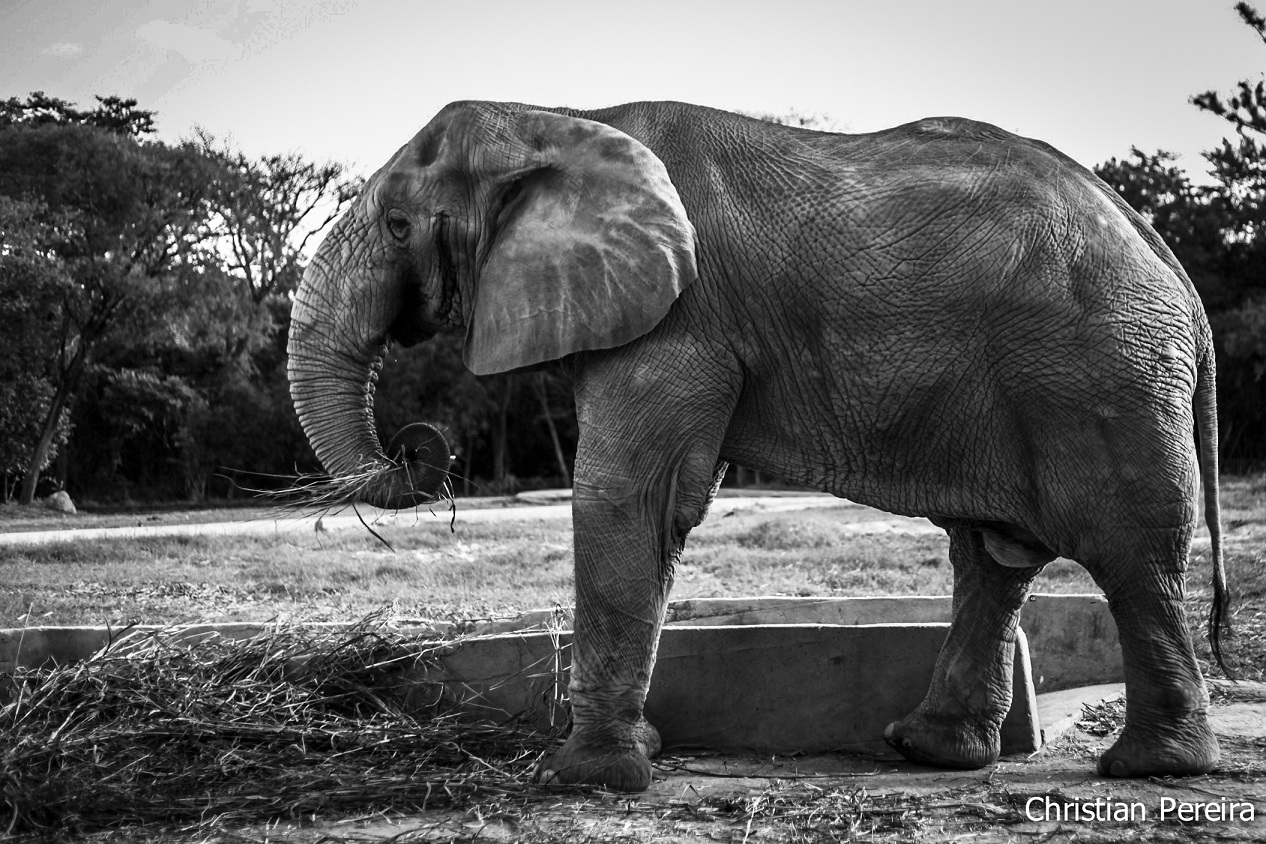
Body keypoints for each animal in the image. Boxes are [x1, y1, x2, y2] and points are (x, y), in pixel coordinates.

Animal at [286, 100, 1230, 792]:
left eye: (398, 225)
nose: (421, 446)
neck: (559, 118)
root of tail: (1165, 254)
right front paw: (633, 757)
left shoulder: (680, 321)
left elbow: (627, 498)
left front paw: (584, 779)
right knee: (994, 556)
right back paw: (929, 751)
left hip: (1101, 373)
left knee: (1128, 554)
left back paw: (1149, 769)